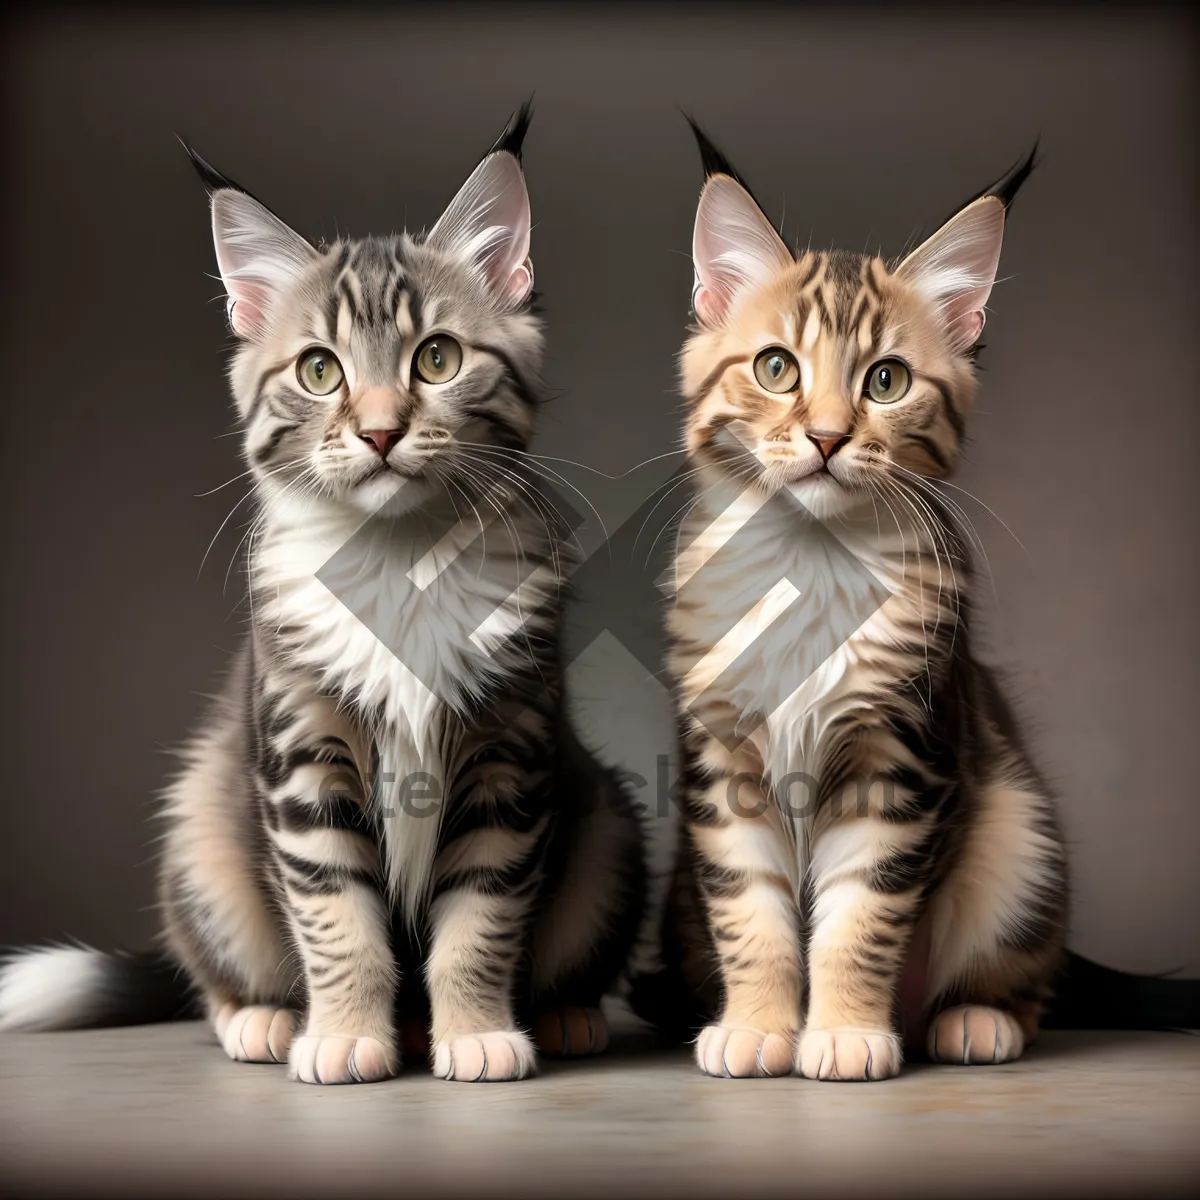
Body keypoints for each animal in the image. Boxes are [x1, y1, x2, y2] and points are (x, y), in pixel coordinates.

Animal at [2, 110, 648, 1089]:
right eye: (318, 371)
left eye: (437, 359)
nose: (380, 431)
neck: (402, 562)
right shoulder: (301, 754)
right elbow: (336, 916)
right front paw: (344, 1035)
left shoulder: (509, 756)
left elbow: (481, 916)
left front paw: (477, 1033)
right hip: (200, 820)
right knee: (215, 972)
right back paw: (265, 1020)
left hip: (607, 818)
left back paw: (558, 1016)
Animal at [667, 126, 1070, 1084]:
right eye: (777, 369)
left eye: (886, 381)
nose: (825, 437)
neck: (808, 567)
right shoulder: (724, 768)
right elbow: (752, 913)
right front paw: (759, 1026)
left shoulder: (898, 762)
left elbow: (858, 920)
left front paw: (846, 1031)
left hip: (1018, 833)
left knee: (1019, 977)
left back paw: (972, 1021)